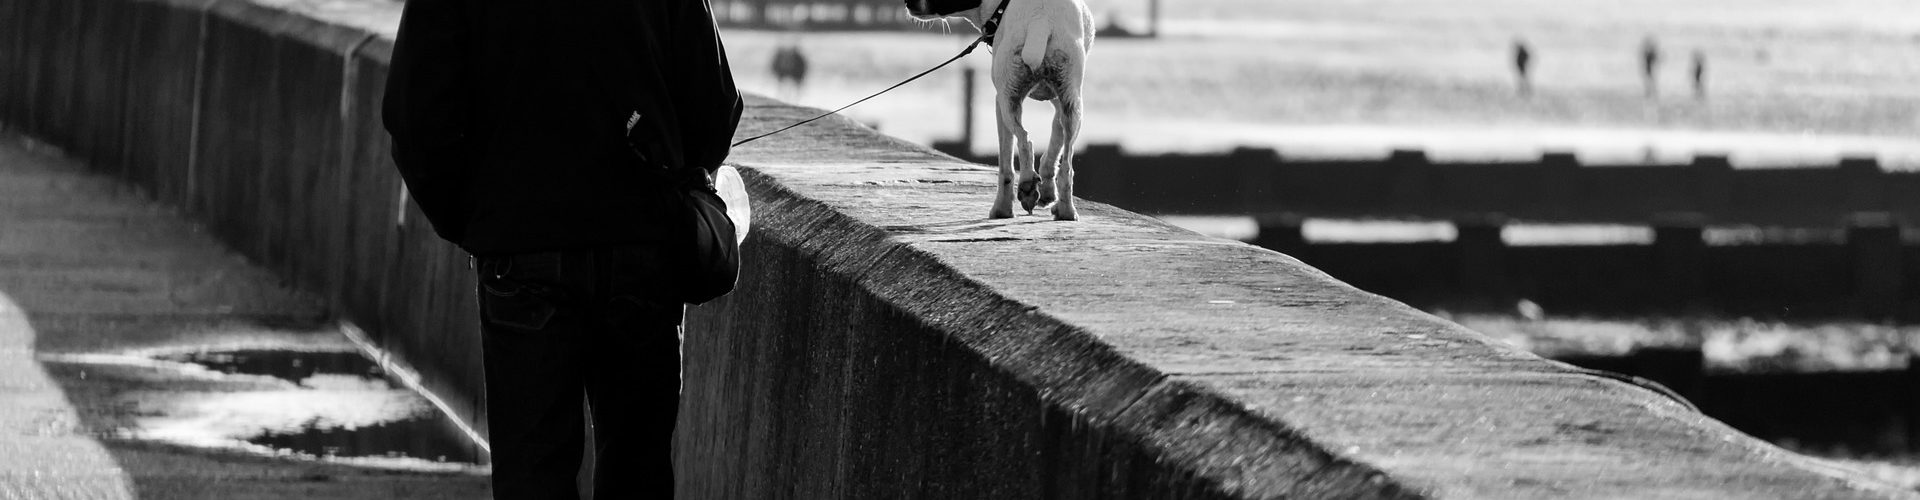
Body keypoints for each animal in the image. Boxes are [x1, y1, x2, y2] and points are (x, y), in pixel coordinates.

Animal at [902, 0, 1090, 219]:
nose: (907, 3)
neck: (999, 7)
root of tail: (1041, 20)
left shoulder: (999, 102)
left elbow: (1007, 164)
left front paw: (1004, 209)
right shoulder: (1059, 101)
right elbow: (1055, 142)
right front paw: (1048, 192)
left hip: (1007, 100)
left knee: (1024, 141)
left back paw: (1023, 188)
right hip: (1072, 104)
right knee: (1066, 165)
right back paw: (1066, 210)